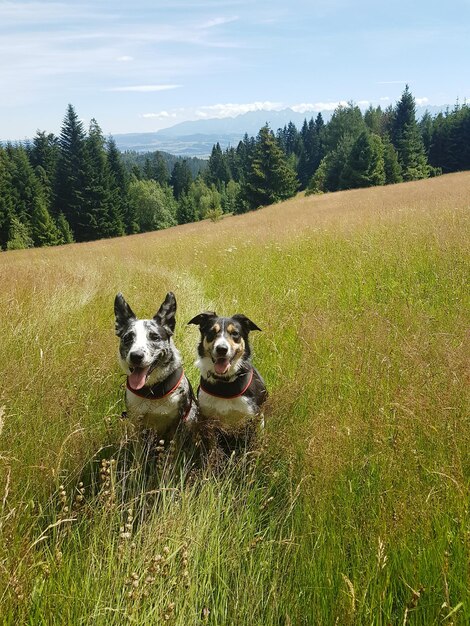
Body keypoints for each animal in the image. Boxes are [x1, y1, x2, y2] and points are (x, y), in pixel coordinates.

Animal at [114, 292, 196, 438]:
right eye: (128, 338)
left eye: (155, 337)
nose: (136, 356)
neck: (153, 390)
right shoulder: (135, 422)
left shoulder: (178, 422)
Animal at [188, 310, 268, 442]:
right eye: (212, 332)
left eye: (235, 333)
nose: (222, 349)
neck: (224, 383)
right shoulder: (208, 419)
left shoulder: (252, 417)